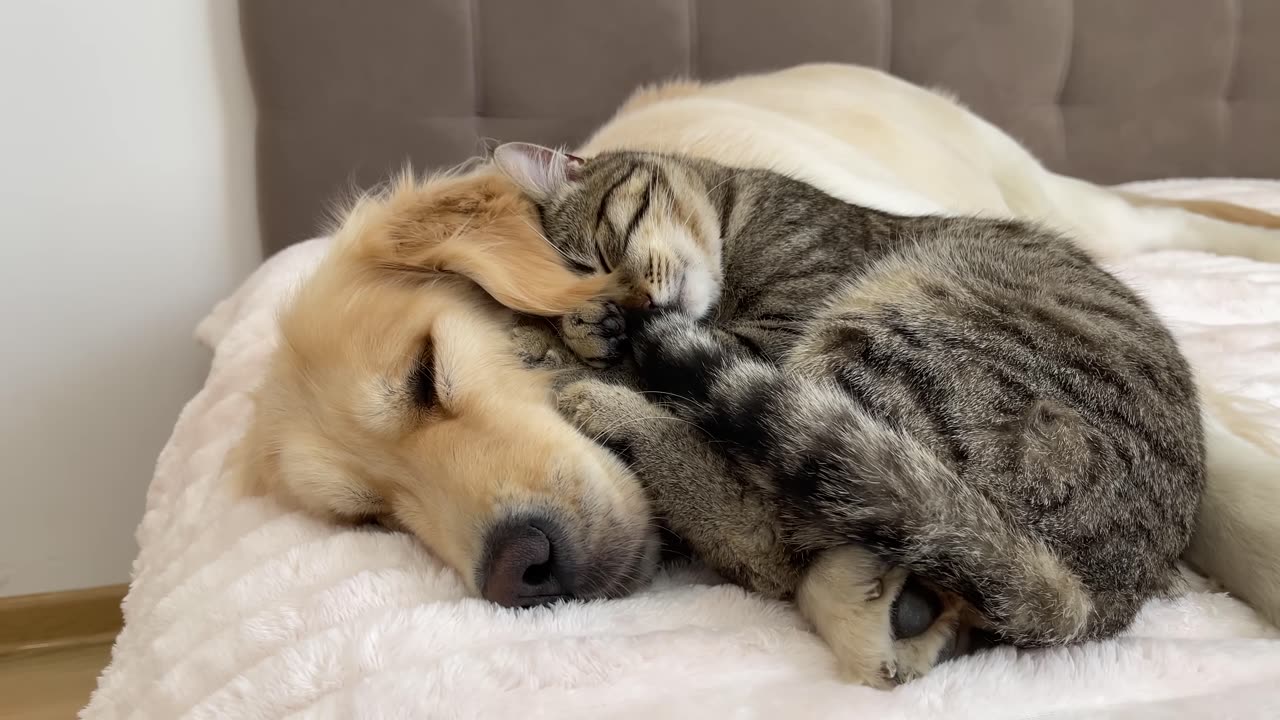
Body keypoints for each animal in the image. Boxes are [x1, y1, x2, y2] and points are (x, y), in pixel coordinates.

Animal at [488, 141, 1198, 681]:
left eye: (605, 252)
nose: (627, 309)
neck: (734, 213)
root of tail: (1099, 597)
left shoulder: (774, 331)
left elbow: (645, 358)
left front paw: (568, 341)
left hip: (872, 346)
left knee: (769, 538)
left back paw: (606, 407)